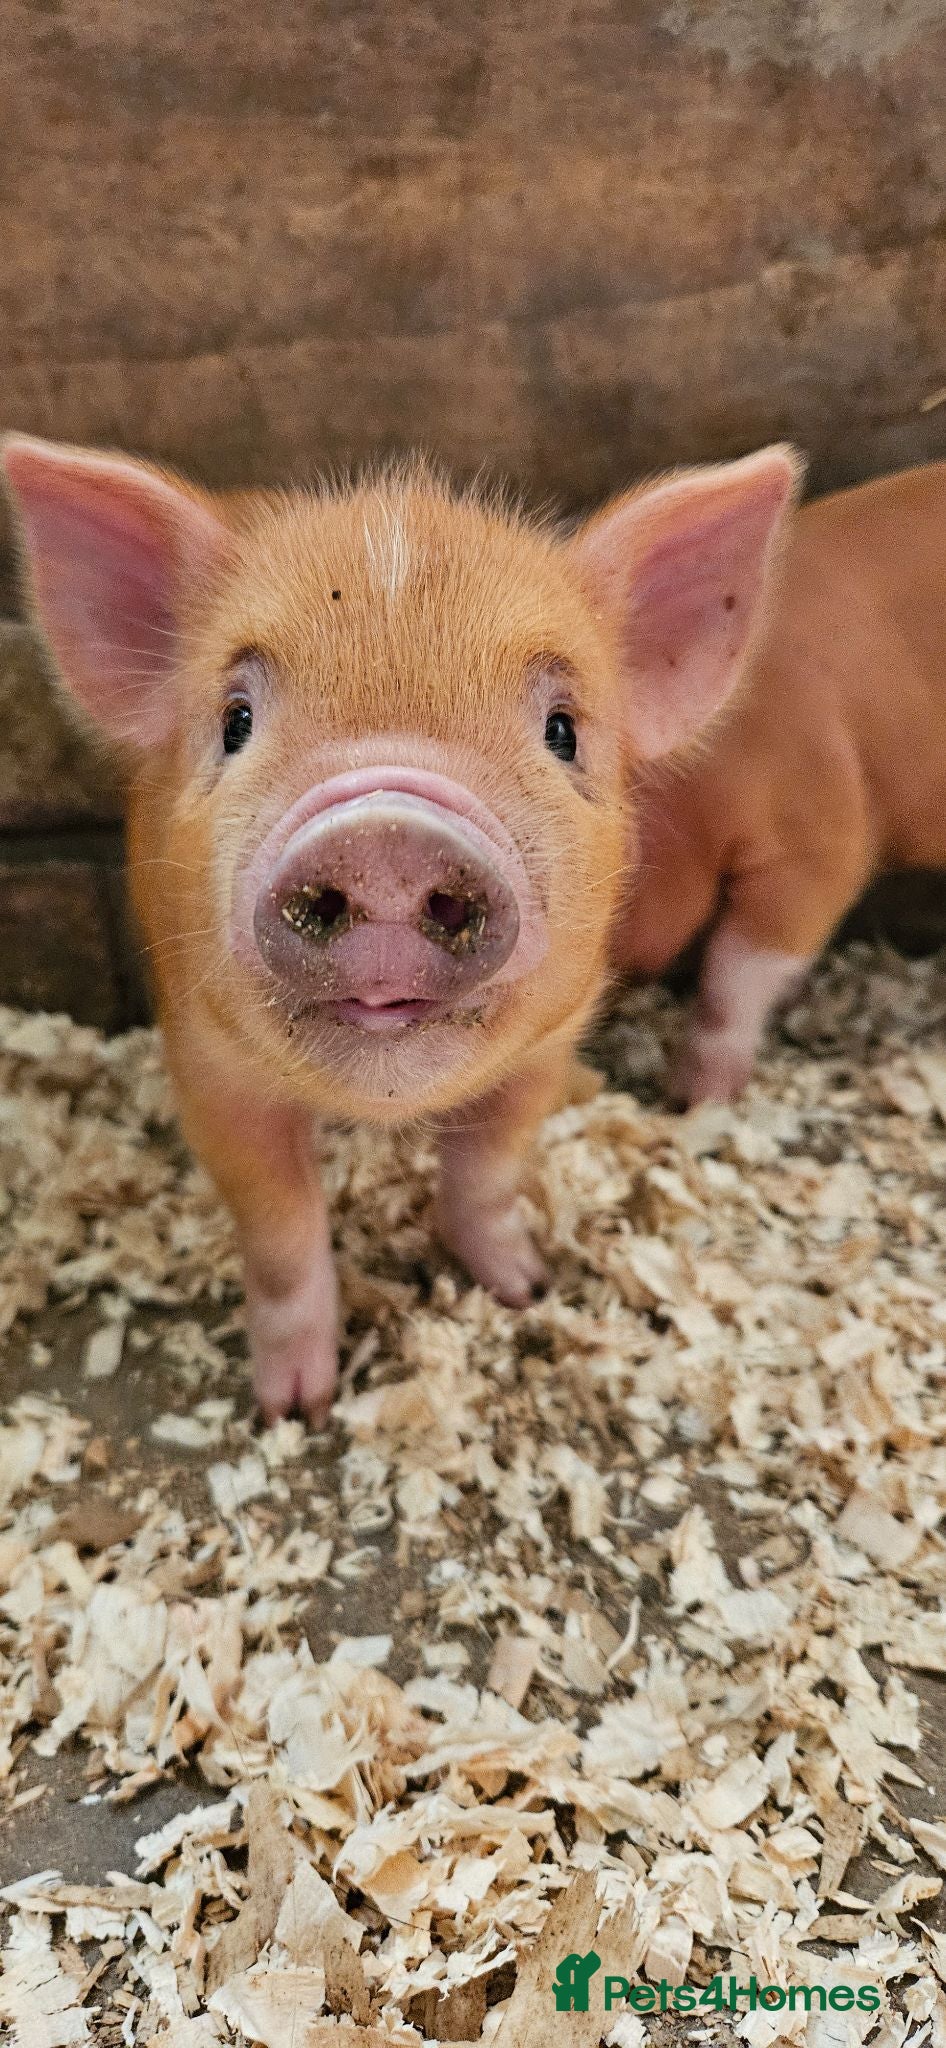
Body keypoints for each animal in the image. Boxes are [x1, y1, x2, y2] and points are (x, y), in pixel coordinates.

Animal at [2, 435, 798, 1420]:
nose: (385, 836)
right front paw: (294, 1407)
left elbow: (488, 1171)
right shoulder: (206, 1061)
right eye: (236, 722)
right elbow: (279, 1226)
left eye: (562, 731)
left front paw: (525, 1285)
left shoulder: (547, 1046)